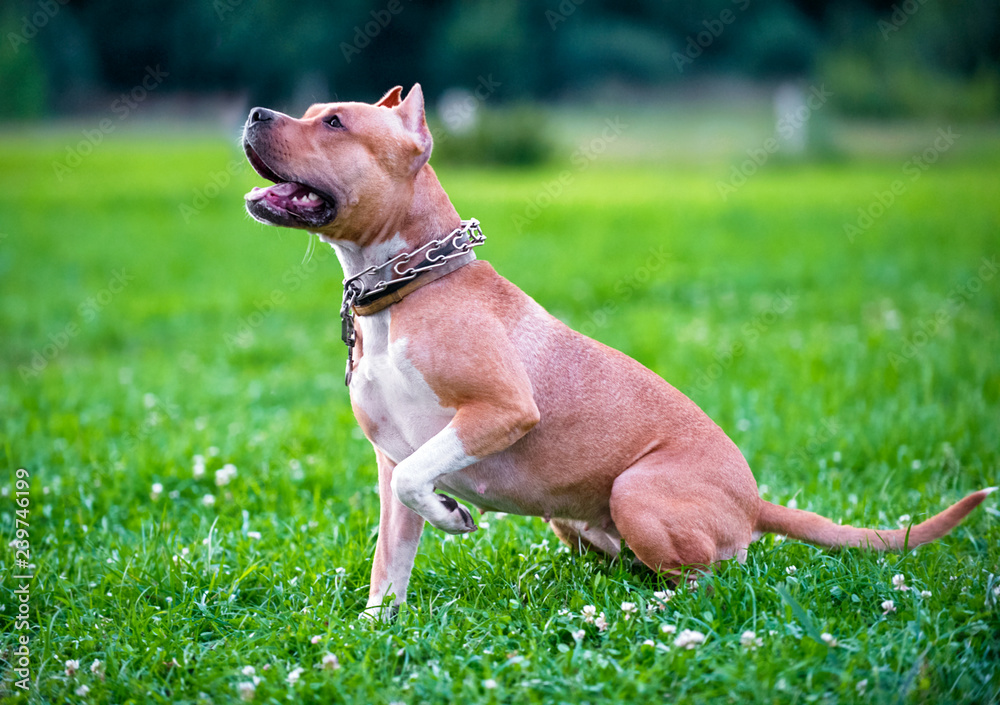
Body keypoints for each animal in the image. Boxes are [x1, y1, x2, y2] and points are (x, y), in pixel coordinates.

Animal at [240, 84, 992, 616]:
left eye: (335, 123)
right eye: (314, 112)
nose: (252, 112)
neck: (406, 287)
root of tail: (755, 503)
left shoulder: (499, 411)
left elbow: (421, 478)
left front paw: (453, 514)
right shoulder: (391, 455)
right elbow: (389, 558)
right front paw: (376, 629)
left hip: (638, 489)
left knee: (711, 579)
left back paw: (653, 608)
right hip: (576, 521)